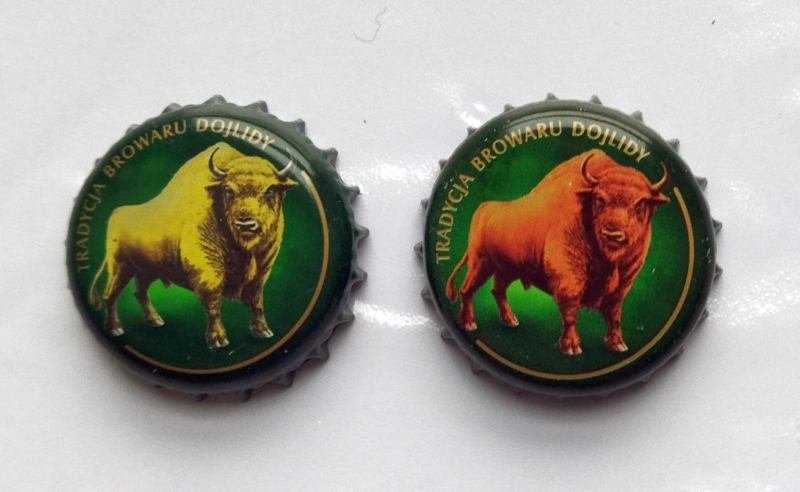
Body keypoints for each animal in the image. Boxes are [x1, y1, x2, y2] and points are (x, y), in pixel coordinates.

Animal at [89, 143, 298, 348]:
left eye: (270, 190)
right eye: (228, 190)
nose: (246, 224)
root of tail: (117, 213)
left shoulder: (261, 271)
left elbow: (256, 302)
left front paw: (263, 331)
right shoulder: (208, 269)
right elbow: (212, 303)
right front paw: (218, 339)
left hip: (147, 271)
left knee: (139, 292)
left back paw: (155, 320)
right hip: (120, 267)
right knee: (110, 295)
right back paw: (116, 328)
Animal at [446, 149, 669, 355]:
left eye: (641, 203)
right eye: (599, 199)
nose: (612, 233)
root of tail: (484, 208)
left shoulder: (623, 282)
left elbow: (614, 313)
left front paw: (617, 344)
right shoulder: (568, 274)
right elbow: (570, 307)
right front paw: (571, 347)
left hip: (507, 269)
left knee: (497, 290)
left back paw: (510, 320)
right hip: (480, 263)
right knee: (467, 290)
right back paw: (469, 323)